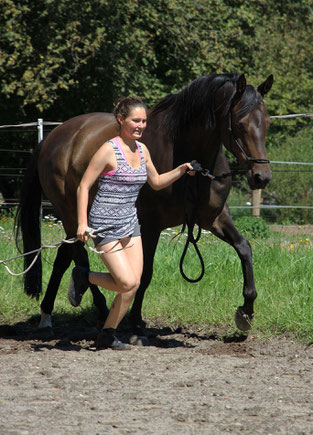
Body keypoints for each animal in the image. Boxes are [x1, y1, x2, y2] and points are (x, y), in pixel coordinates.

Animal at [15, 72, 272, 338]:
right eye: (240, 124)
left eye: (267, 123)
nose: (261, 177)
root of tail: (51, 138)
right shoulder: (151, 226)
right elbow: (145, 272)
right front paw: (136, 321)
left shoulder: (214, 218)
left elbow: (244, 248)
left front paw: (246, 311)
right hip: (72, 216)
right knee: (79, 258)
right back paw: (100, 310)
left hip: (78, 222)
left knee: (65, 257)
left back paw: (48, 314)